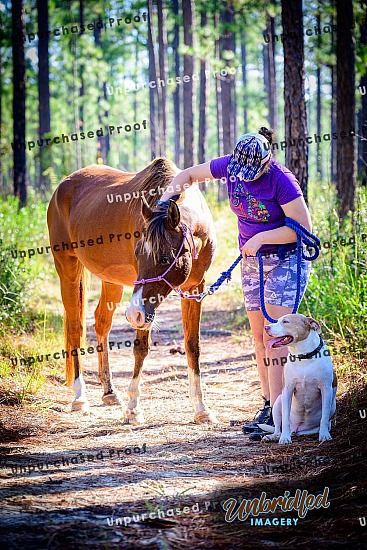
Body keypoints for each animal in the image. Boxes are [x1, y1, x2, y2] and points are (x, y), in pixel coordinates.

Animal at [46, 157, 218, 424]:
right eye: (138, 254)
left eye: (165, 257)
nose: (132, 314)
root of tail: (62, 187)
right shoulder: (145, 308)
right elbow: (141, 348)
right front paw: (133, 408)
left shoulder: (194, 288)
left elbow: (193, 346)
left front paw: (201, 409)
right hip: (68, 267)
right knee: (75, 327)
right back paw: (79, 397)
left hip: (111, 281)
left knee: (101, 323)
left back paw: (109, 392)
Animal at [260, 312, 338, 446]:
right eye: (277, 320)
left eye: (285, 321)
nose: (266, 327)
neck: (303, 356)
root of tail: (297, 429)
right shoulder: (287, 390)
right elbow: (285, 418)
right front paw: (285, 438)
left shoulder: (326, 389)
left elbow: (324, 418)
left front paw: (324, 435)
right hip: (278, 402)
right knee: (278, 428)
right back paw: (274, 436)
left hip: (333, 405)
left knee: (326, 421)